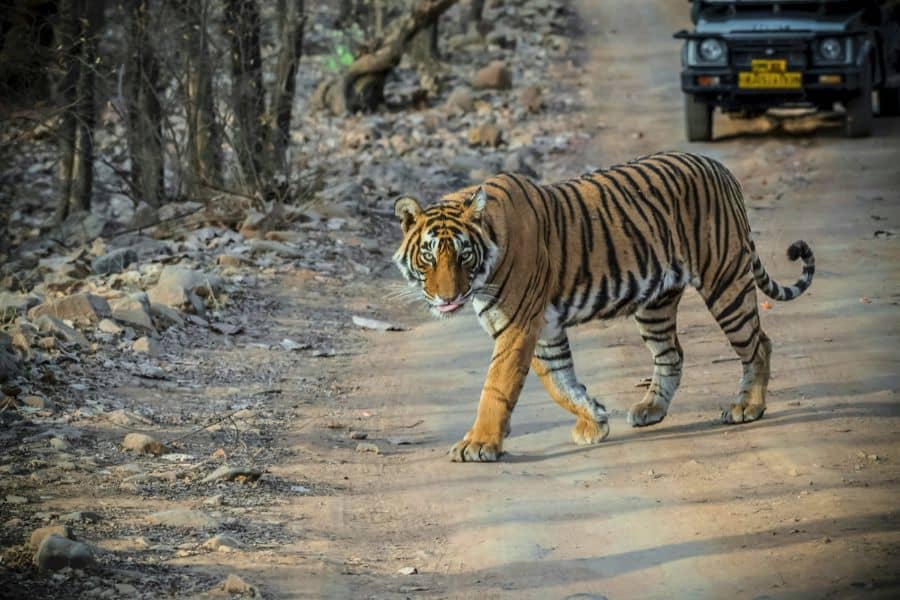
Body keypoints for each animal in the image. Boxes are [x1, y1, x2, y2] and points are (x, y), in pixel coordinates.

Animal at [392, 151, 815, 462]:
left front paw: (479, 444)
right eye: (429, 255)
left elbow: (497, 386)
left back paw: (748, 408)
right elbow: (560, 382)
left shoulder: (517, 326)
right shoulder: (543, 328)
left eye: (464, 255)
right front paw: (594, 419)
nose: (447, 298)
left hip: (725, 281)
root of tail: (721, 168)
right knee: (672, 354)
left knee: (759, 344)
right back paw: (650, 409)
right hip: (656, 304)